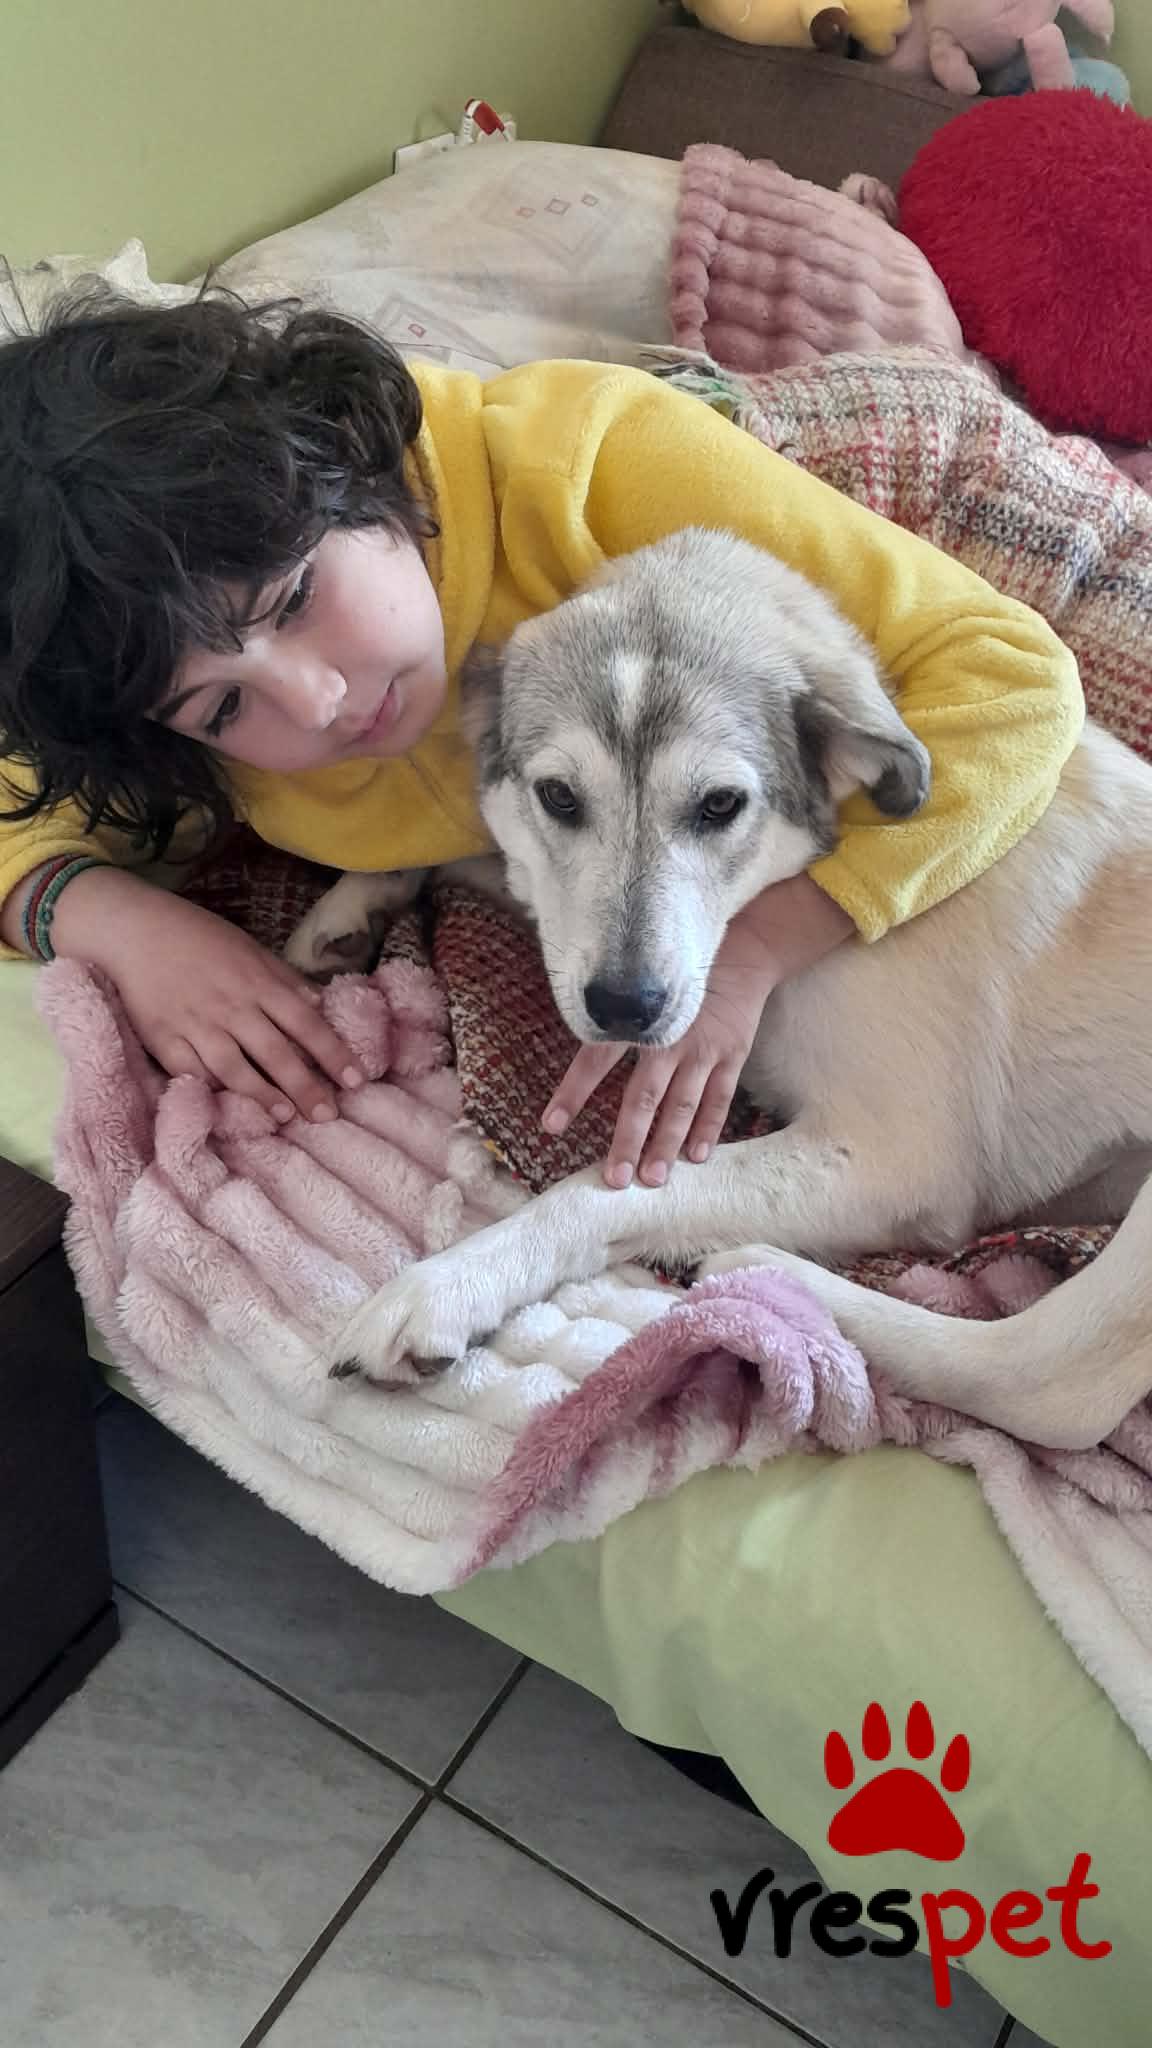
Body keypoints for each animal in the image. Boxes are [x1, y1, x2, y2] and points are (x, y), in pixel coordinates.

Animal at [300, 528, 1152, 1451]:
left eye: (719, 805)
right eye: (559, 797)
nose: (625, 1008)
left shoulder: (892, 1156)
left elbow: (598, 1192)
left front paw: (450, 1284)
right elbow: (488, 862)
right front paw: (350, 904)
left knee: (1054, 1379)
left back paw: (769, 1275)